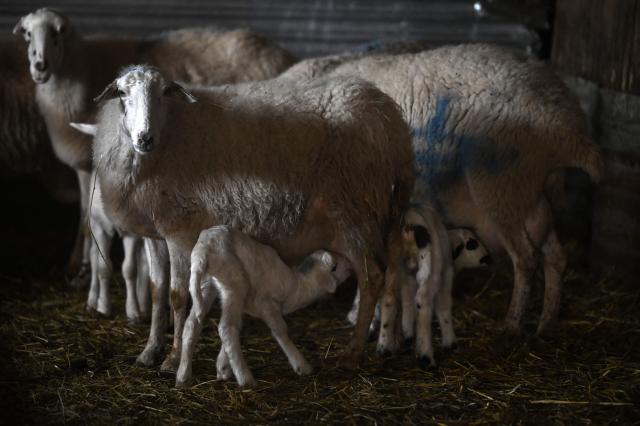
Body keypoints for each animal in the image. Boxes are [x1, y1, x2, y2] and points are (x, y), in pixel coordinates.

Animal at [13, 8, 297, 287]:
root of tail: (279, 50)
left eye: (58, 33)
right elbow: (85, 214)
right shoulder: (87, 165)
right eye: (27, 34)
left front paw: (85, 269)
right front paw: (76, 265)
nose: (40, 66)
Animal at [175, 225, 352, 388]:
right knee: (226, 328)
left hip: (207, 285)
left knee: (192, 324)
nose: (350, 264)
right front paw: (302, 366)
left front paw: (223, 367)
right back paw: (246, 379)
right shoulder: (267, 303)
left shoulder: (244, 304)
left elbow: (240, 327)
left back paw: (183, 375)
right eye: (334, 266)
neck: (296, 287)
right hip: (233, 282)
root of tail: (203, 250)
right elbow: (280, 330)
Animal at [281, 44, 605, 363]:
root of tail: (565, 126)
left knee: (526, 258)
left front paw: (369, 321)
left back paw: (511, 327)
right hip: (536, 196)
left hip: (501, 188)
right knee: (556, 255)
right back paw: (547, 325)